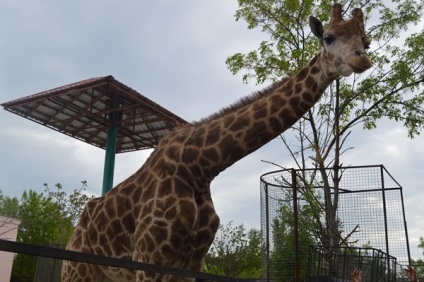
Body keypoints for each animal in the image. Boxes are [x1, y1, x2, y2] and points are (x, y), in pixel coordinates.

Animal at [62, 3, 372, 280]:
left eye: (366, 42)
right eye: (328, 37)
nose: (362, 59)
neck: (200, 168)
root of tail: (74, 232)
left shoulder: (190, 263)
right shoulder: (148, 259)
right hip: (77, 270)